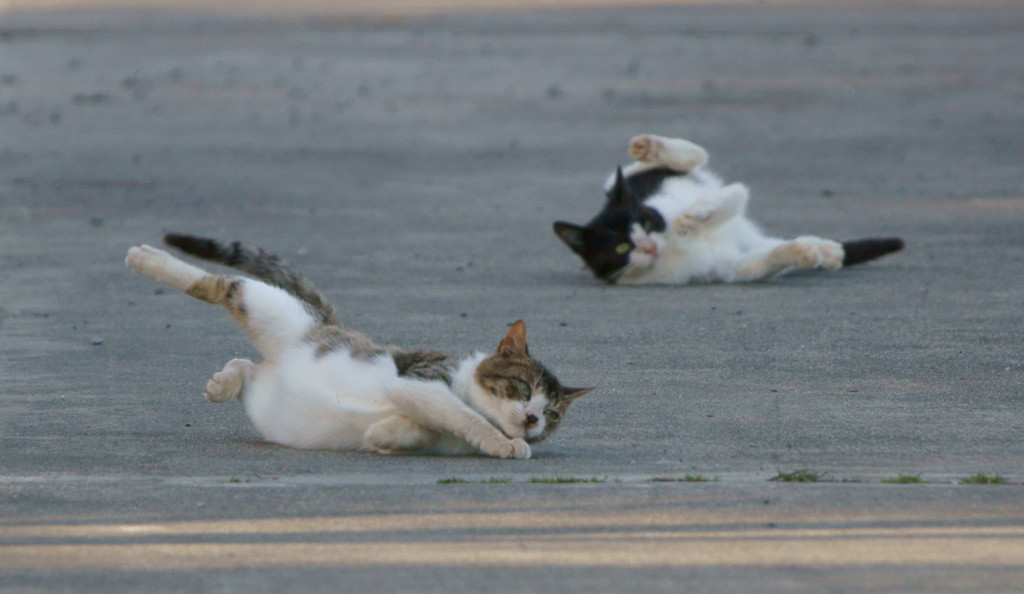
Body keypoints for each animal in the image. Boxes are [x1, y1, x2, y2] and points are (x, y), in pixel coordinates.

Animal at [125, 234, 593, 456]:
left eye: (552, 413)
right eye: (523, 389)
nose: (532, 419)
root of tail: (328, 325)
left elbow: (425, 428)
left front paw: (385, 433)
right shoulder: (420, 380)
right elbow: (463, 415)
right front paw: (503, 442)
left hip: (267, 388)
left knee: (247, 366)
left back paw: (224, 382)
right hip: (272, 308)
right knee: (219, 284)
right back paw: (146, 259)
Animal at [552, 136, 905, 284]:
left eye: (649, 225)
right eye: (622, 248)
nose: (650, 246)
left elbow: (734, 195)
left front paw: (693, 218)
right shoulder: (729, 266)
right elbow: (760, 263)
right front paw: (803, 253)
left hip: (630, 181)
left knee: (675, 161)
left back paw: (652, 147)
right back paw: (822, 249)